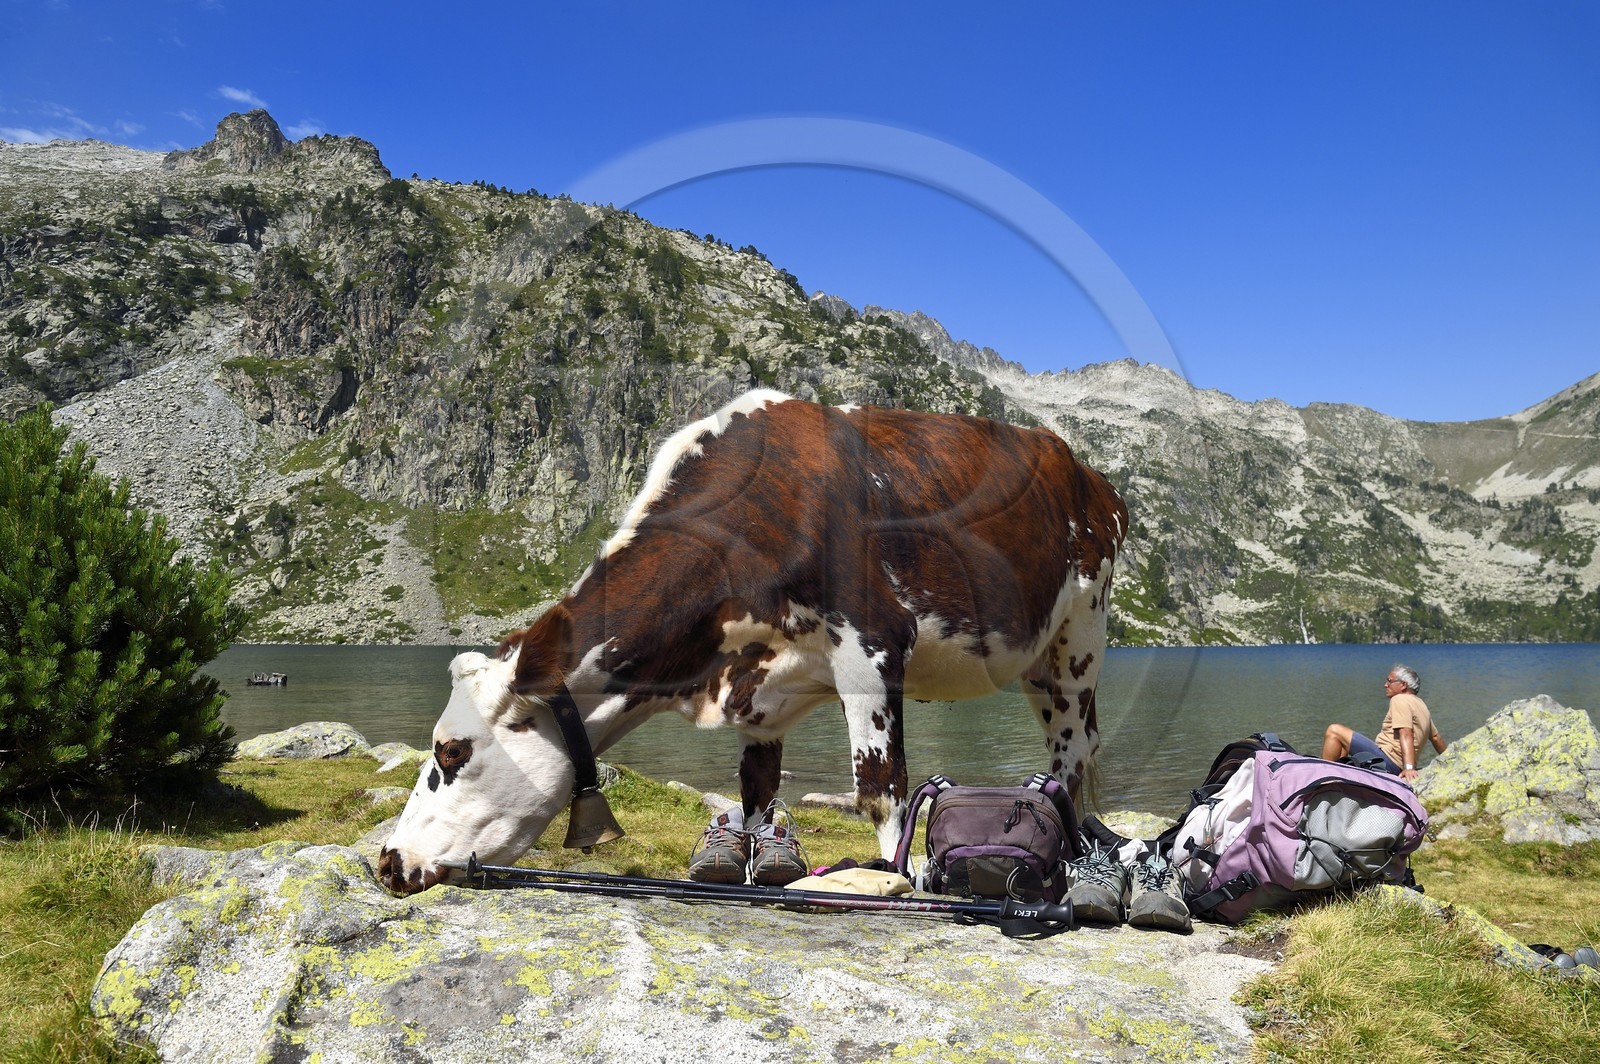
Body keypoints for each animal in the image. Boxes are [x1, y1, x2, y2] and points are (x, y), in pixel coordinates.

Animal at [379, 389, 1127, 895]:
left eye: (451, 751)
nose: (387, 859)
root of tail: (1085, 472)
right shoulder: (759, 688)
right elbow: (756, 793)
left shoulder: (874, 644)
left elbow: (883, 789)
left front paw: (895, 879)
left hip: (1080, 633)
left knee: (1073, 748)